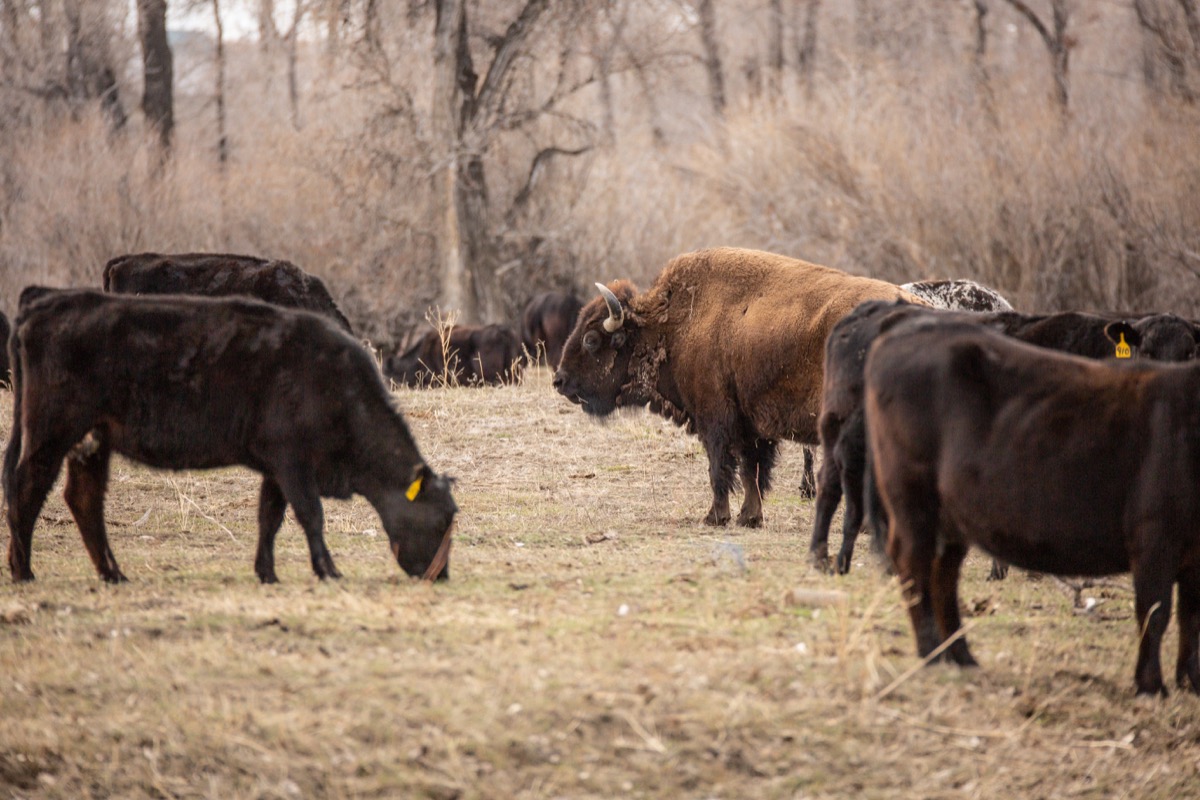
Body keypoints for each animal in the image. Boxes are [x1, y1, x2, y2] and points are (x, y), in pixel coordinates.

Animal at [3, 289, 457, 584]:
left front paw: (267, 573)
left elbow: (269, 517)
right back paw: (24, 571)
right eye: (443, 517)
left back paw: (113, 574)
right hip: (51, 432)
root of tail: (42, 306)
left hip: (92, 442)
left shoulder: (276, 467)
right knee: (26, 488)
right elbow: (310, 514)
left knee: (83, 500)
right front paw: (328, 570)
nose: (441, 576)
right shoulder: (293, 461)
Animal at [552, 247, 927, 528]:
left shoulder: (715, 418)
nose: (559, 380)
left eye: (591, 339)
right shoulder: (751, 425)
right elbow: (751, 471)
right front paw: (751, 517)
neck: (673, 324)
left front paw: (715, 517)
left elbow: (720, 468)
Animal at [863, 318, 1200, 696]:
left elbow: (1191, 617)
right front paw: (1151, 685)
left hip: (950, 517)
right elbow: (1155, 612)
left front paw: (1190, 680)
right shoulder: (1154, 536)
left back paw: (960, 655)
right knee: (915, 564)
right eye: (1147, 349)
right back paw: (931, 652)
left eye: (1191, 350)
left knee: (943, 575)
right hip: (913, 499)